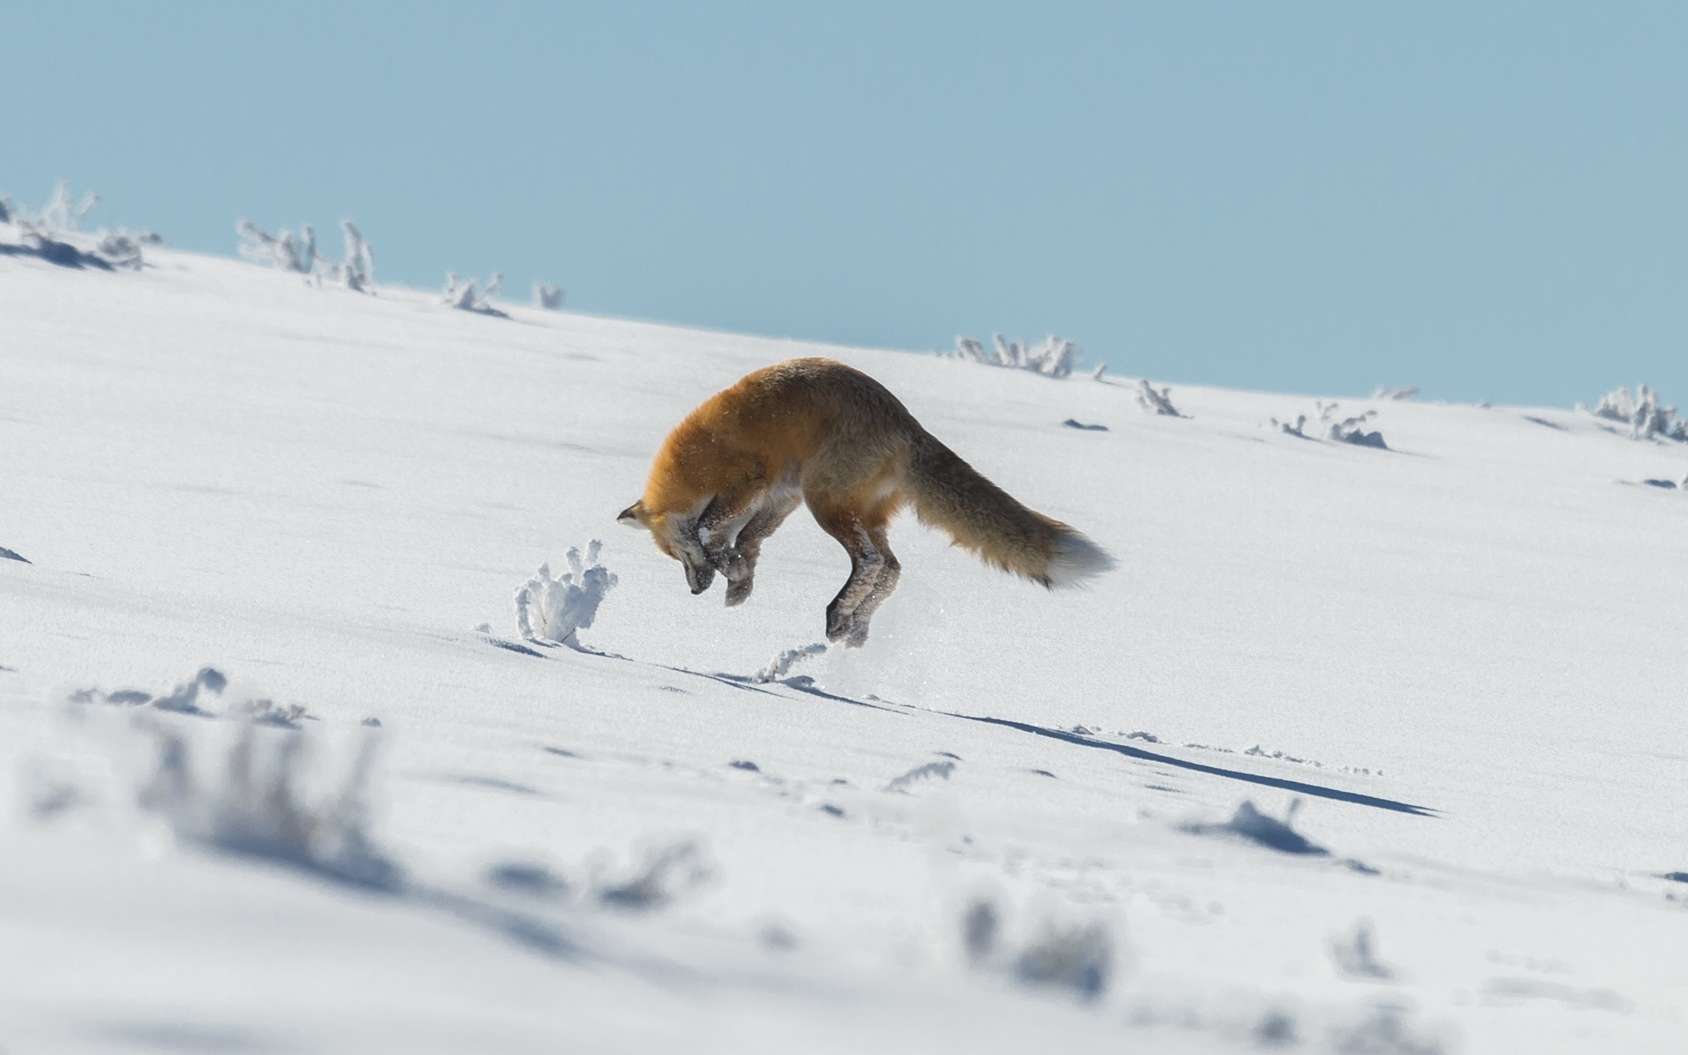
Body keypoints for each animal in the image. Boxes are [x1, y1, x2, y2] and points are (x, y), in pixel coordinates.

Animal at [617, 357, 1107, 644]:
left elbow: (710, 530)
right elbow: (749, 542)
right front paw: (740, 584)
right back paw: (853, 624)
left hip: (826, 502)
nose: (694, 591)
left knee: (871, 561)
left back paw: (839, 613)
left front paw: (731, 572)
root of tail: (906, 423)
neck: (697, 460)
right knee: (891, 567)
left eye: (677, 555)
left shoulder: (751, 482)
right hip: (854, 509)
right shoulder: (781, 497)